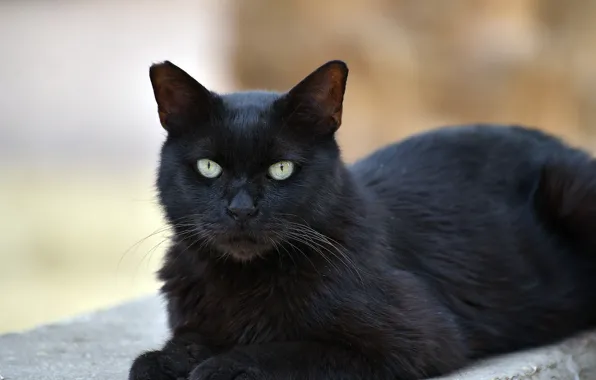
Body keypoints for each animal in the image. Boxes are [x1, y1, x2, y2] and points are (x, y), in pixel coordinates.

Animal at [128, 60, 596, 380]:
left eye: (282, 169)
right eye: (209, 167)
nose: (241, 209)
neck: (240, 283)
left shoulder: (416, 339)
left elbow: (291, 349)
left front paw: (226, 365)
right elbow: (174, 347)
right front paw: (166, 360)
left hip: (573, 188)